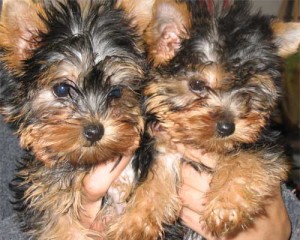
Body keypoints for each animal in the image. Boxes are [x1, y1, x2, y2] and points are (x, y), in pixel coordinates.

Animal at [0, 0, 148, 239]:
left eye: (116, 92)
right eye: (62, 89)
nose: (95, 131)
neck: (84, 165)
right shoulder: (44, 195)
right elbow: (62, 227)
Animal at [108, 0, 300, 239]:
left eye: (249, 91)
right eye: (197, 85)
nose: (227, 127)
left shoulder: (265, 143)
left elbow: (244, 160)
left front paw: (225, 205)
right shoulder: (164, 148)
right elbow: (155, 180)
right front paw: (135, 221)